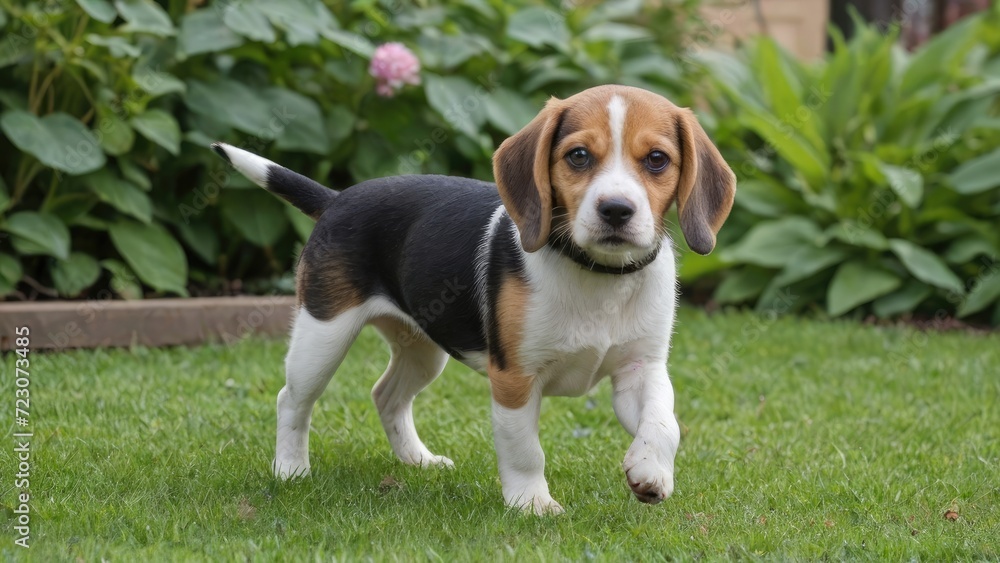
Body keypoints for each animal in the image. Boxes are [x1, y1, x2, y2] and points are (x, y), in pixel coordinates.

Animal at [213, 85, 736, 516]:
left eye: (657, 160)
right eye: (579, 156)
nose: (616, 210)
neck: (598, 275)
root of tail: (338, 197)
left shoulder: (641, 368)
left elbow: (664, 422)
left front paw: (651, 471)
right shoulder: (514, 378)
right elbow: (525, 449)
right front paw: (532, 504)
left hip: (423, 347)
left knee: (386, 395)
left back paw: (418, 460)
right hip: (323, 332)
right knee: (293, 400)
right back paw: (291, 470)